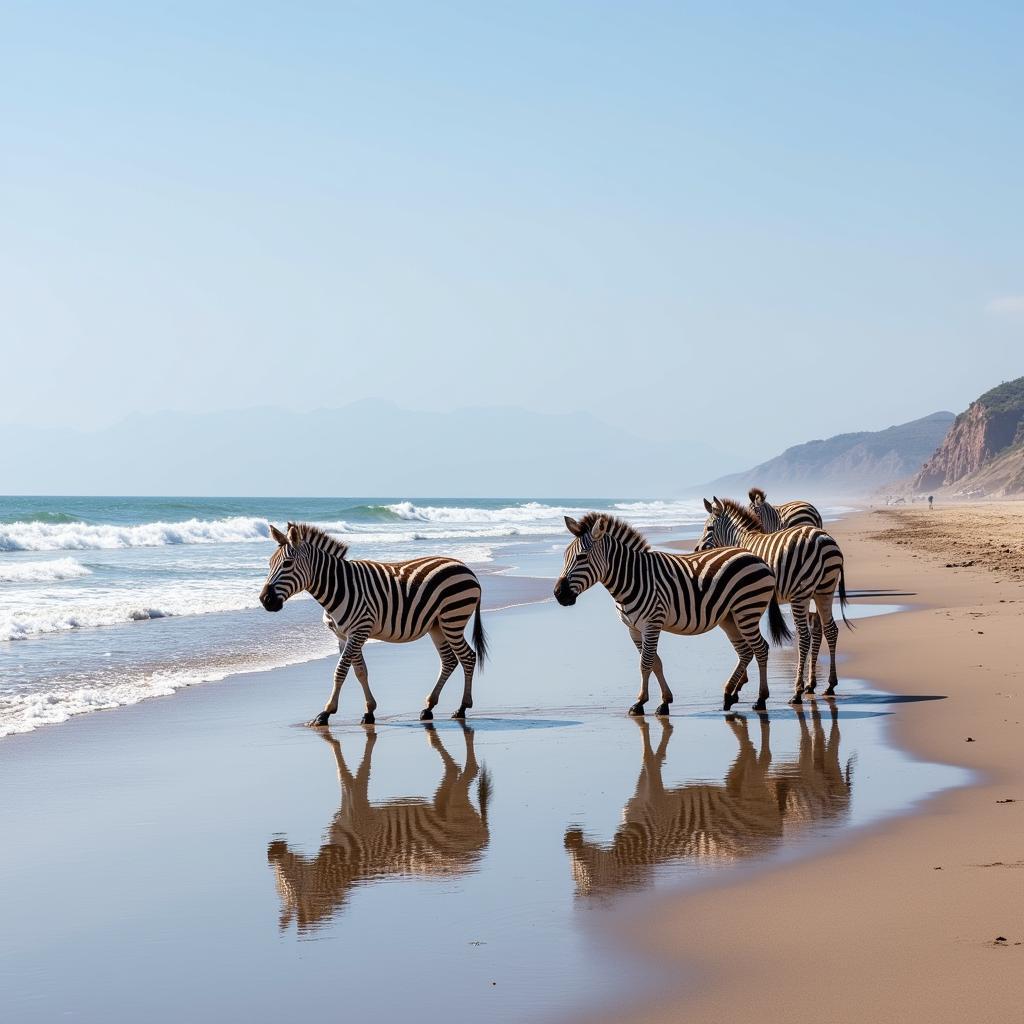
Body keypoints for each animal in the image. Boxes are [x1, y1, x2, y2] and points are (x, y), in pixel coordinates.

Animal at [262, 524, 489, 724]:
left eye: (287, 564)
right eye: (269, 564)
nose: (265, 600)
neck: (339, 587)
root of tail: (467, 568)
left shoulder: (359, 630)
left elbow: (340, 671)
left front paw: (325, 713)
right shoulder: (344, 635)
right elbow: (360, 671)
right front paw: (369, 711)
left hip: (453, 618)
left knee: (468, 657)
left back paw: (462, 708)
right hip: (437, 625)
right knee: (449, 660)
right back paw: (429, 707)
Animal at [264, 724, 487, 933]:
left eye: (283, 879)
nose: (270, 852)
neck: (341, 861)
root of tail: (482, 844)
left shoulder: (357, 807)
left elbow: (351, 773)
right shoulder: (349, 808)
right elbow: (349, 772)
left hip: (455, 806)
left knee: (471, 770)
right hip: (444, 801)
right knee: (456, 771)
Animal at [552, 509, 790, 712]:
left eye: (581, 557)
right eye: (564, 556)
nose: (557, 594)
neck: (633, 577)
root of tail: (758, 558)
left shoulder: (652, 622)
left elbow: (645, 663)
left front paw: (640, 703)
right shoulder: (634, 629)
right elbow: (655, 662)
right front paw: (664, 701)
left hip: (746, 610)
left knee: (761, 649)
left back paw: (760, 699)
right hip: (730, 617)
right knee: (745, 651)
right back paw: (728, 696)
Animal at [565, 712, 851, 897]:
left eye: (579, 870)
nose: (567, 840)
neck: (635, 844)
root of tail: (775, 836)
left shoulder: (654, 800)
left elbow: (651, 761)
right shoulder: (641, 796)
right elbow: (650, 761)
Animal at [696, 495, 847, 704]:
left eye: (709, 528)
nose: (696, 549)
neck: (741, 540)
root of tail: (824, 541)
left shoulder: (744, 597)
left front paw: (739, 684)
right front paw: (740, 682)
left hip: (800, 594)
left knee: (805, 636)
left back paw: (797, 691)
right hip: (824, 591)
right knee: (828, 629)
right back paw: (826, 684)